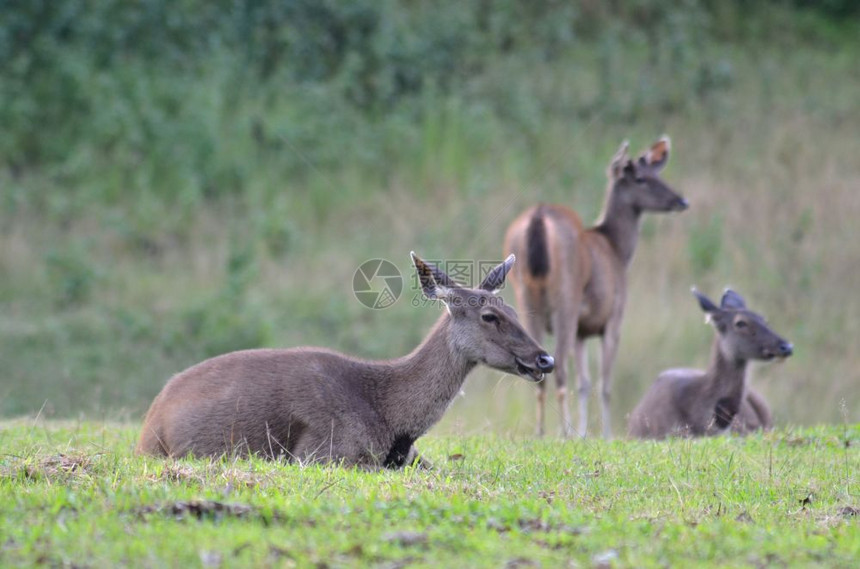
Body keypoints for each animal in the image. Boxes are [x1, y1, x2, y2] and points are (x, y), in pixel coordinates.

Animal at [134, 252, 552, 466]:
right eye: (489, 316)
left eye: (513, 309)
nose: (545, 359)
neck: (392, 421)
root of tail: (149, 421)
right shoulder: (321, 451)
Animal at [500, 135, 688, 438]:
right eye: (641, 178)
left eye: (657, 174)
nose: (681, 200)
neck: (617, 249)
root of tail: (538, 218)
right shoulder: (612, 318)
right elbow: (605, 383)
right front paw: (603, 433)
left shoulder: (582, 330)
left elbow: (585, 383)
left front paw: (583, 431)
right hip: (565, 297)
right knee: (559, 366)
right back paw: (562, 433)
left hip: (526, 295)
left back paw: (541, 431)